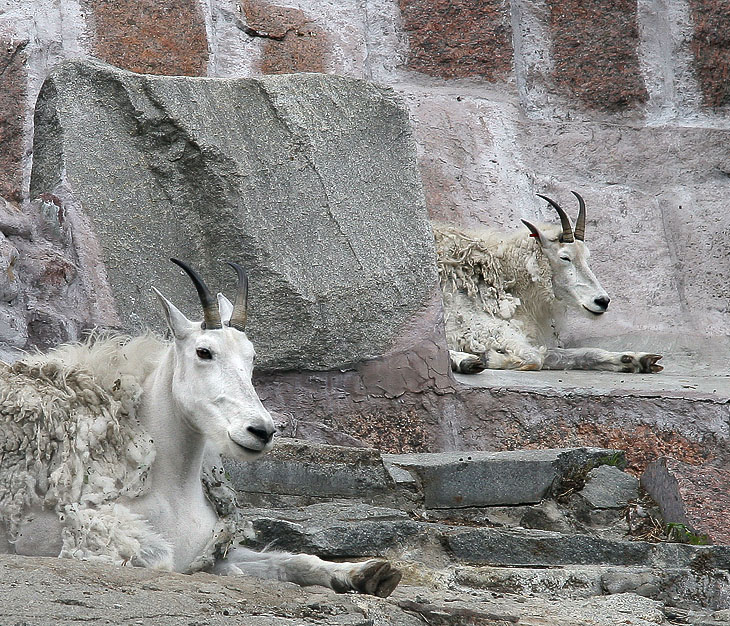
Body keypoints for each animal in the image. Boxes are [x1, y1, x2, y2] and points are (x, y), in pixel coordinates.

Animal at [0, 258, 398, 596]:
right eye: (203, 351)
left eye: (252, 356)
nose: (261, 431)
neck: (168, 485)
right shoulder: (63, 535)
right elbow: (162, 559)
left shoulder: (213, 546)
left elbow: (291, 560)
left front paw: (367, 573)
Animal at [436, 193, 664, 372]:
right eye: (565, 257)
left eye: (586, 257)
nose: (602, 301)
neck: (503, 276)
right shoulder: (478, 326)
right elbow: (534, 358)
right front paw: (488, 357)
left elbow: (574, 354)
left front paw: (636, 359)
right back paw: (465, 361)